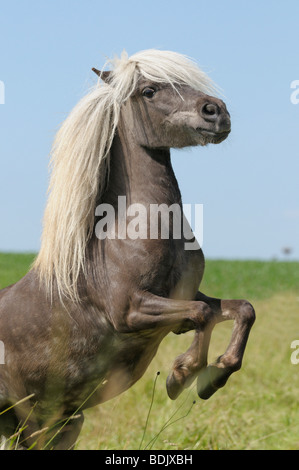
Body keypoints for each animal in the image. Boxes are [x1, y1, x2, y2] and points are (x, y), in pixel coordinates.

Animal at [0, 49, 255, 450]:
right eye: (149, 90)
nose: (216, 111)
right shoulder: (131, 310)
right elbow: (201, 314)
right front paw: (180, 375)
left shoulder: (181, 300)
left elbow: (240, 309)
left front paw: (213, 378)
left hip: (59, 424)